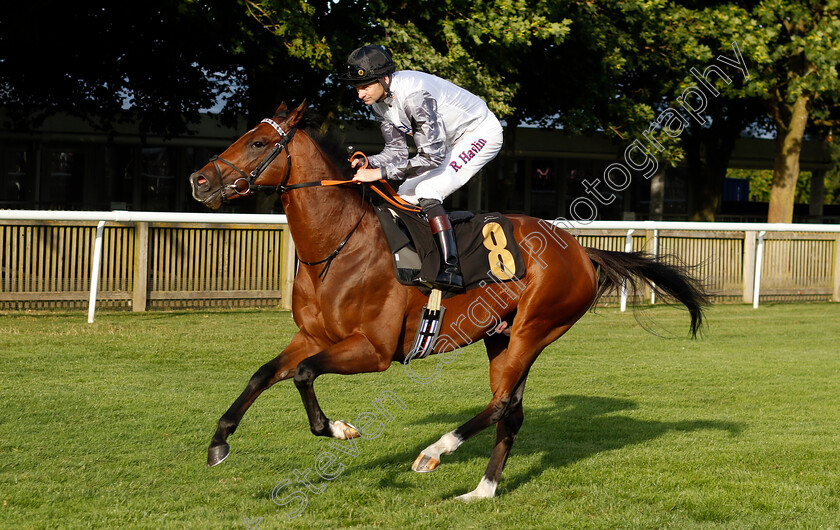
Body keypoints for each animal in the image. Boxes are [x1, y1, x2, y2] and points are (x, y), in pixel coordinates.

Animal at [187, 99, 704, 500]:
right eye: (243, 136)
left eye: (258, 143)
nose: (199, 181)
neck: (339, 247)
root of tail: (579, 248)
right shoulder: (313, 334)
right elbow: (263, 374)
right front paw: (219, 443)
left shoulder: (374, 350)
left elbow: (304, 374)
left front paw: (339, 428)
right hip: (502, 336)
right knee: (510, 410)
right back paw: (482, 491)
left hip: (536, 329)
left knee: (501, 404)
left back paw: (435, 453)